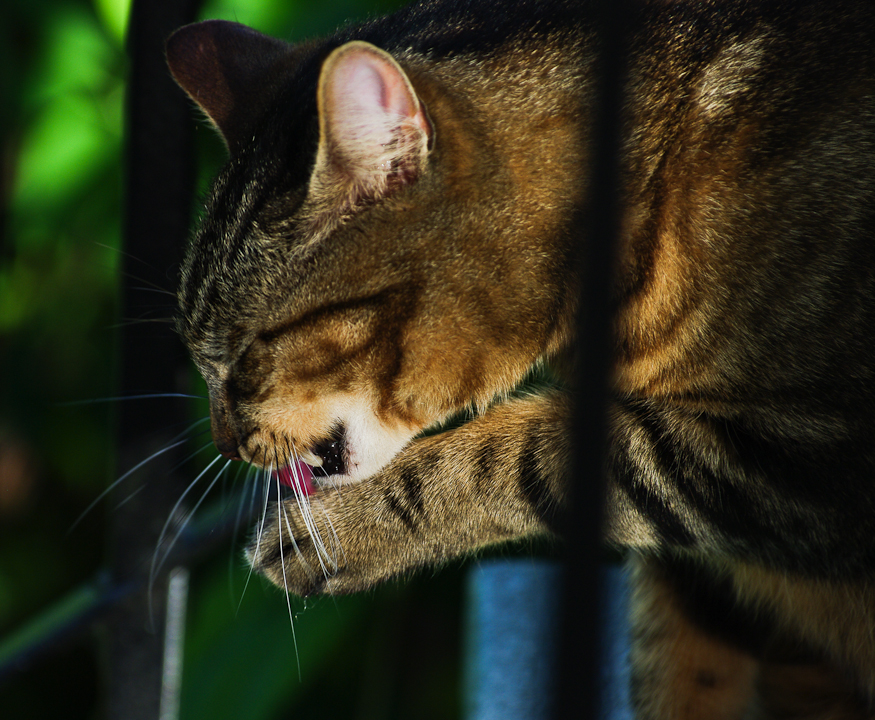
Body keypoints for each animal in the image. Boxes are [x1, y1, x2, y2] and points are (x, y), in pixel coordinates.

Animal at [166, 1, 875, 716]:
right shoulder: (690, 596)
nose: (222, 444)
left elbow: (524, 457)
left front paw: (344, 529)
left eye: (245, 355)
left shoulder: (811, 462)